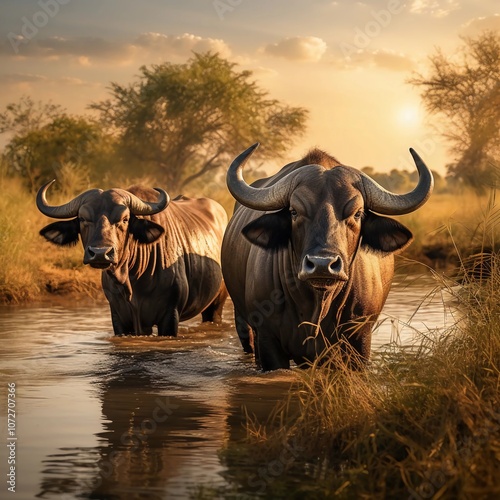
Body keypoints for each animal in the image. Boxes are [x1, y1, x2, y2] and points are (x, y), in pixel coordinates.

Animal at [36, 184, 228, 336]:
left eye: (125, 219)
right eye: (83, 219)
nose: (100, 253)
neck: (132, 279)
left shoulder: (170, 316)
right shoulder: (120, 319)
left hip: (216, 304)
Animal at [223, 143, 434, 370]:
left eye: (357, 213)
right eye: (294, 211)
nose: (322, 264)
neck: (317, 305)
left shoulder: (360, 339)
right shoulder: (268, 341)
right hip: (244, 324)